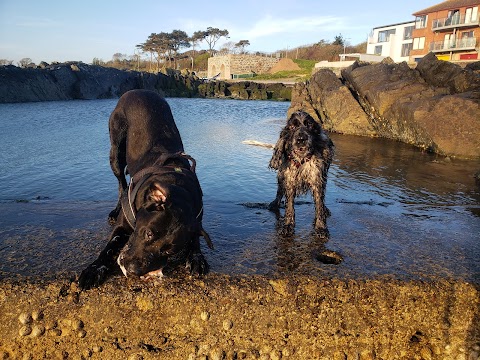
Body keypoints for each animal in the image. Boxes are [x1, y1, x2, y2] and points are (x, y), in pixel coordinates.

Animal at [79, 90, 212, 290]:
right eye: (148, 233)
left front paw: (197, 257)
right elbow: (108, 249)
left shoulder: (196, 218)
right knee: (121, 184)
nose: (134, 270)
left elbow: (195, 239)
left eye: (169, 250)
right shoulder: (121, 227)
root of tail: (137, 91)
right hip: (116, 151)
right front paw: (94, 269)